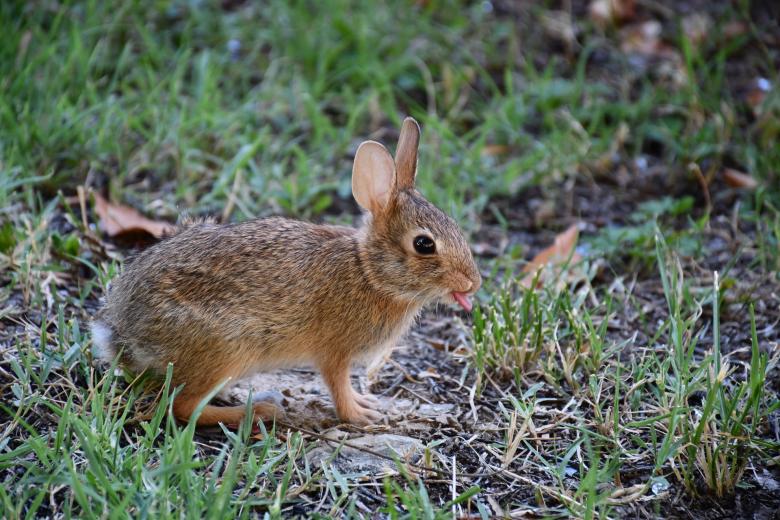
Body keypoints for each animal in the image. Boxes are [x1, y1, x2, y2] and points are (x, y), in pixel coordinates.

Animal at [91, 118, 482, 426]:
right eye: (424, 244)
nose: (473, 283)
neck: (370, 272)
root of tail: (122, 330)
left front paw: (367, 403)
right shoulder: (333, 354)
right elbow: (338, 386)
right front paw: (361, 415)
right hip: (225, 351)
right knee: (182, 408)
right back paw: (259, 411)